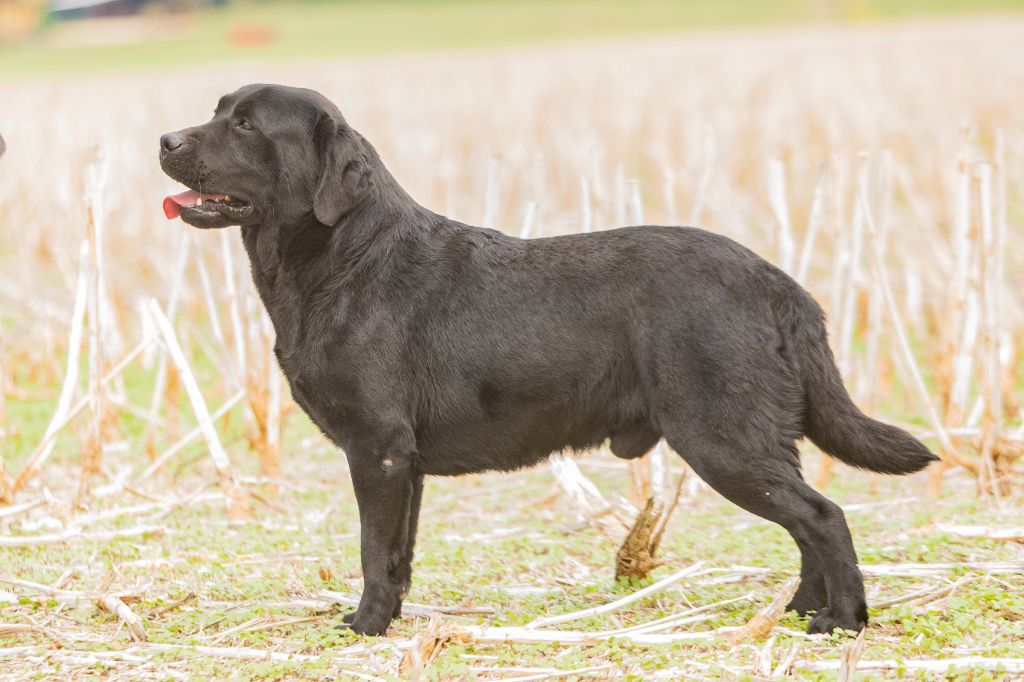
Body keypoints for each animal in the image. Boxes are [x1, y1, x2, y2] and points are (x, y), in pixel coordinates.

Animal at [159, 84, 938, 637]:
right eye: (218, 112)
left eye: (247, 125)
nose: (164, 139)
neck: (342, 258)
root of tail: (779, 281)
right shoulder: (404, 462)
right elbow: (400, 553)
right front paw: (392, 622)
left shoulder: (377, 449)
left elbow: (373, 551)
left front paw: (366, 626)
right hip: (755, 439)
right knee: (805, 521)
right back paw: (799, 610)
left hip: (723, 439)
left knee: (823, 517)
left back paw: (843, 621)